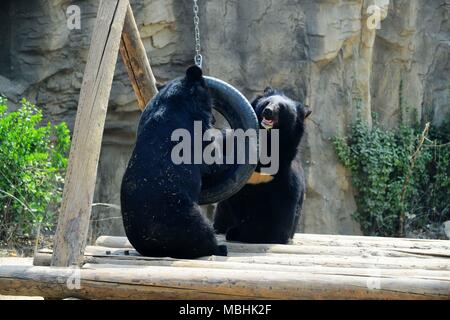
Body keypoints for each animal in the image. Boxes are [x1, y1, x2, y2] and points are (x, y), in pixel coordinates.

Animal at [120, 66, 227, 258]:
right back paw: (219, 248)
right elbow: (213, 162)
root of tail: (154, 248)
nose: (214, 119)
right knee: (202, 231)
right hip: (182, 214)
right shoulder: (194, 131)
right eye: (209, 101)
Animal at [214, 87, 312, 242]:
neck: (268, 141)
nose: (268, 111)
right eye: (267, 102)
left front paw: (275, 237)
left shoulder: (284, 171)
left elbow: (286, 200)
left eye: (281, 108)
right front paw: (244, 232)